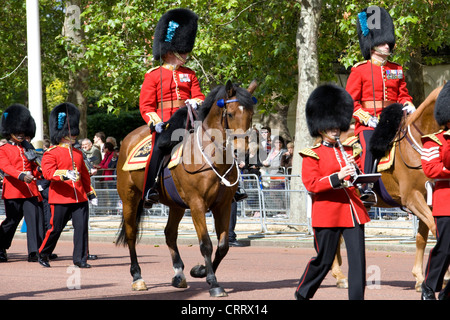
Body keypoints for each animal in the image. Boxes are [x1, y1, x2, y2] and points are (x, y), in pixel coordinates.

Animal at [116, 80, 256, 298]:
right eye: (231, 114)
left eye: (251, 114)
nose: (242, 152)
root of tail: (129, 138)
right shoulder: (197, 204)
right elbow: (206, 244)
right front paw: (213, 283)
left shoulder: (223, 205)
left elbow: (223, 246)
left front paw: (201, 271)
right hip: (129, 199)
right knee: (131, 234)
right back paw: (137, 277)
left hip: (176, 205)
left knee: (169, 234)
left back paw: (179, 275)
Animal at [328, 84, 448, 290]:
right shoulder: (412, 198)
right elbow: (434, 229)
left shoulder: (428, 199)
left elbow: (422, 237)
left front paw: (420, 278)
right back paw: (339, 275)